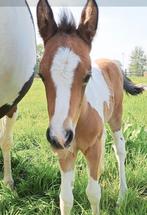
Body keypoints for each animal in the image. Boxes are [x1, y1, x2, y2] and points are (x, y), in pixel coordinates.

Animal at [37, 0, 144, 214]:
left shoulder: (93, 148)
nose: (59, 136)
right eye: (41, 75)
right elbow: (65, 199)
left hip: (116, 117)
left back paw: (122, 195)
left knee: (120, 149)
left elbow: (93, 193)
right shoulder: (65, 152)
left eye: (87, 76)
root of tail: (114, 62)